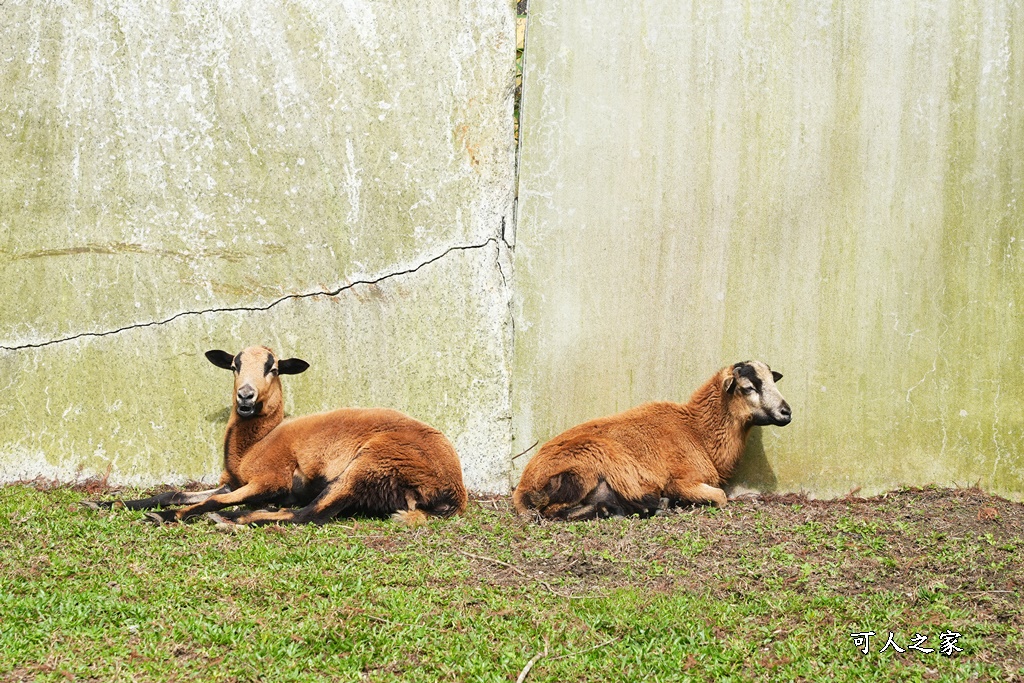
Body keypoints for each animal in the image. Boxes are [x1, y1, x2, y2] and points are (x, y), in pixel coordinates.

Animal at [512, 360, 790, 520]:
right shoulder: (681, 479)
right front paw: (679, 502)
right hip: (584, 465)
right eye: (748, 388)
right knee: (554, 513)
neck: (698, 432)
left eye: (771, 380)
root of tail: (523, 488)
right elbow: (720, 497)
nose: (786, 412)